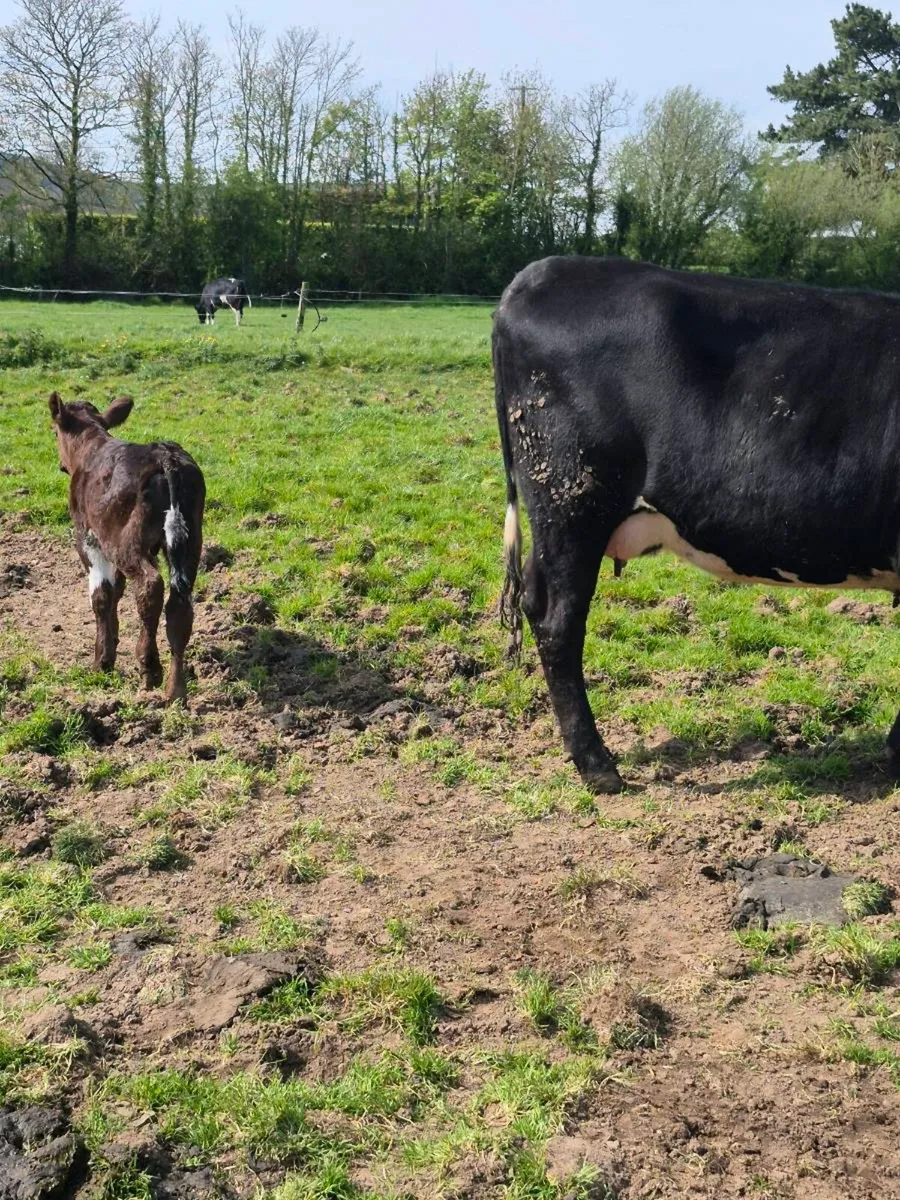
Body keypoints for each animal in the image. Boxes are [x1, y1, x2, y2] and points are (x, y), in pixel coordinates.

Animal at [49, 392, 205, 704]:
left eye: (55, 432)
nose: (60, 464)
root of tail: (165, 456)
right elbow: (116, 590)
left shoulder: (89, 538)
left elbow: (102, 596)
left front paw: (102, 661)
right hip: (191, 539)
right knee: (179, 604)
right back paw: (175, 690)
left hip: (128, 542)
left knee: (150, 587)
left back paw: (149, 667)